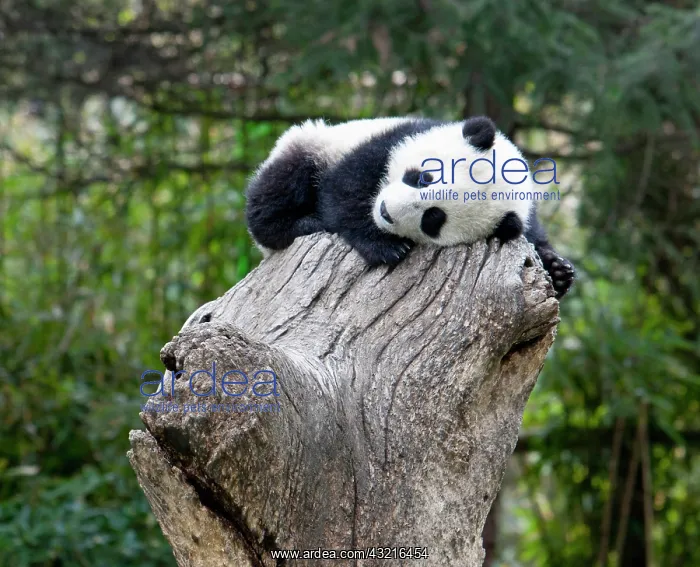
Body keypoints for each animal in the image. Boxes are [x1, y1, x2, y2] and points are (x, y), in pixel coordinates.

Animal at [245, 116, 575, 298]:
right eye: (423, 177)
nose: (385, 212)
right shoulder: (392, 139)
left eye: (433, 219)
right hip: (315, 140)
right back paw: (300, 224)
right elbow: (344, 188)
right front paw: (384, 246)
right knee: (281, 184)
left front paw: (558, 271)